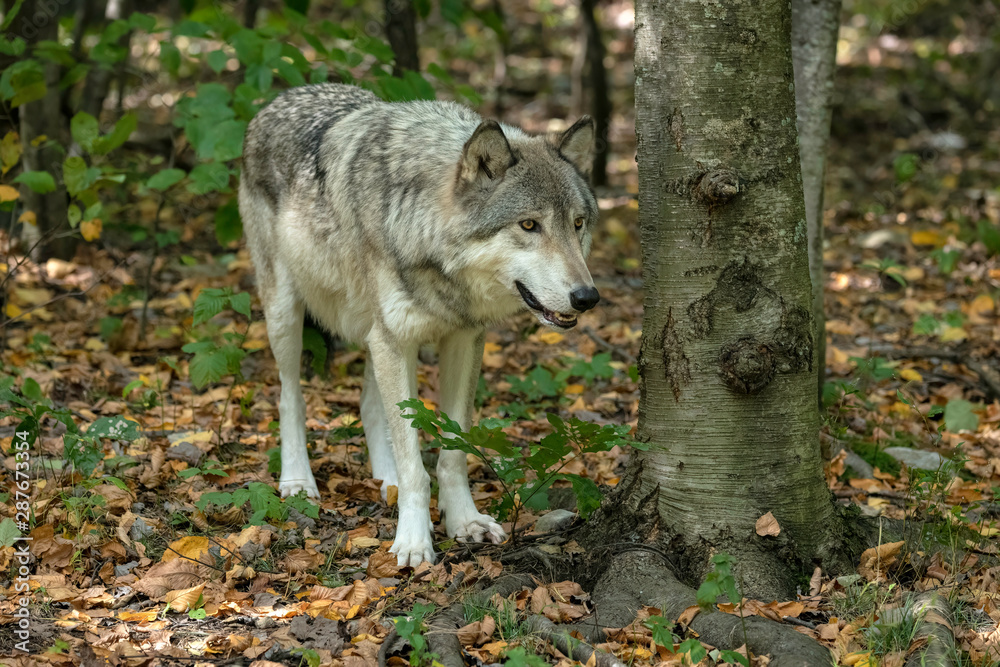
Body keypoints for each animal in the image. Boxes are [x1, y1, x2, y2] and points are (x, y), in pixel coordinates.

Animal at [240, 81, 600, 568]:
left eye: (577, 224)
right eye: (529, 224)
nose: (587, 297)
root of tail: (284, 96)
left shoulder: (462, 340)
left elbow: (451, 452)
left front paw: (463, 521)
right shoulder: (395, 339)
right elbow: (416, 464)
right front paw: (413, 540)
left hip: (374, 334)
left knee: (370, 406)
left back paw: (385, 480)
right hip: (287, 314)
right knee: (289, 396)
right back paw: (298, 480)